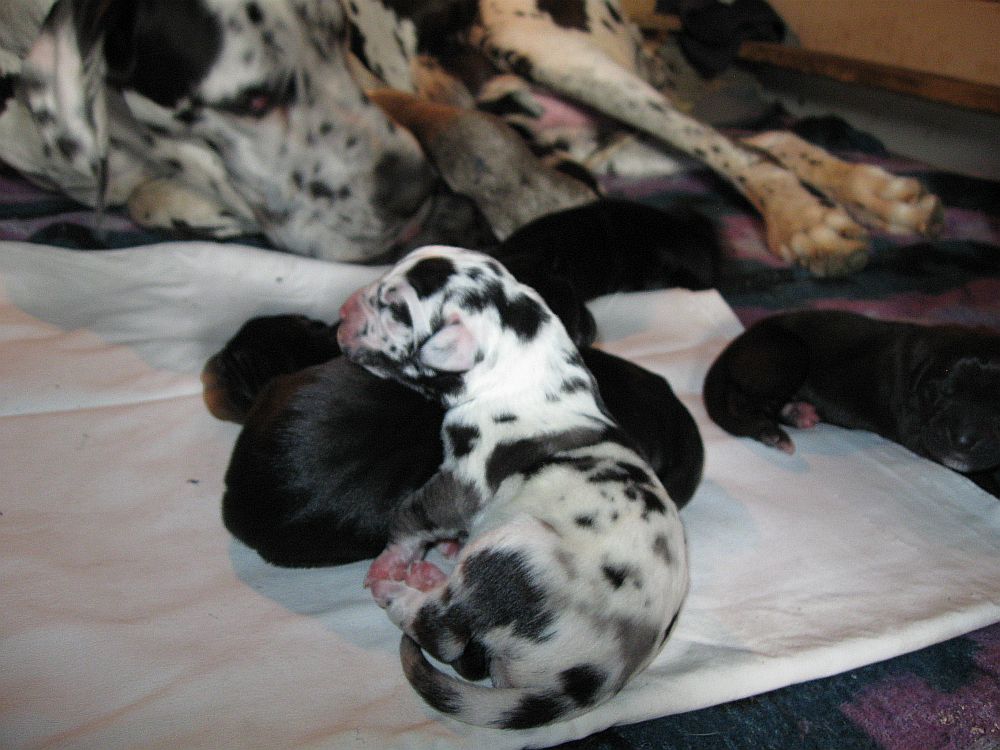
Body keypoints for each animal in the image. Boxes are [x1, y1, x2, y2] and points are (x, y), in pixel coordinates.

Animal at [1, 0, 940, 275]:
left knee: (739, 147)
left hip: (549, 48)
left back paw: (815, 218)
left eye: (335, 31)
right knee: (761, 138)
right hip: (599, 132)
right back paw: (865, 192)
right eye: (255, 97)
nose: (414, 195)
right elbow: (154, 195)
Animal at [335, 246, 688, 728]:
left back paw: (395, 593)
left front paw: (391, 561)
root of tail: (588, 683)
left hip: (509, 549)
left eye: (394, 308)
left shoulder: (460, 483)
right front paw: (444, 547)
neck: (528, 371)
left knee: (441, 628)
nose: (341, 312)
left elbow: (411, 517)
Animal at [703, 310, 1000, 497]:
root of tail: (735, 344)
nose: (962, 441)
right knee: (741, 401)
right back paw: (769, 432)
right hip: (788, 354)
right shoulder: (919, 433)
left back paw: (798, 413)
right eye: (941, 393)